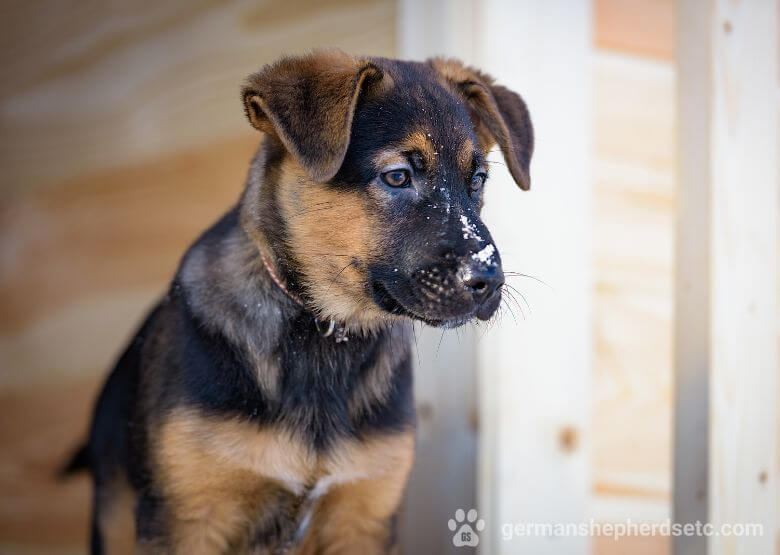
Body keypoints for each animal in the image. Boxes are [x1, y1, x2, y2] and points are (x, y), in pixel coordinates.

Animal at [65, 52, 532, 555]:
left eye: (477, 181)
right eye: (398, 176)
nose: (488, 279)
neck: (323, 332)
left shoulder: (364, 516)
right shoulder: (187, 520)